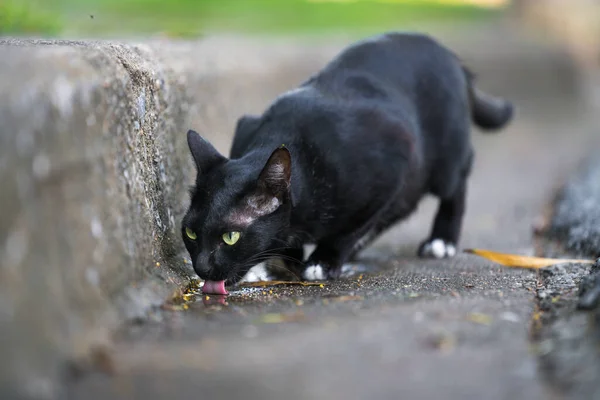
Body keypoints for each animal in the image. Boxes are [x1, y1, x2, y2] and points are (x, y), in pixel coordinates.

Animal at [180, 32, 512, 294]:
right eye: (191, 233)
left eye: (230, 237)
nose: (202, 267)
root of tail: (448, 54)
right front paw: (291, 256)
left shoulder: (394, 161)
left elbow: (351, 228)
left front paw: (324, 261)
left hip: (443, 159)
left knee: (455, 183)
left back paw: (441, 240)